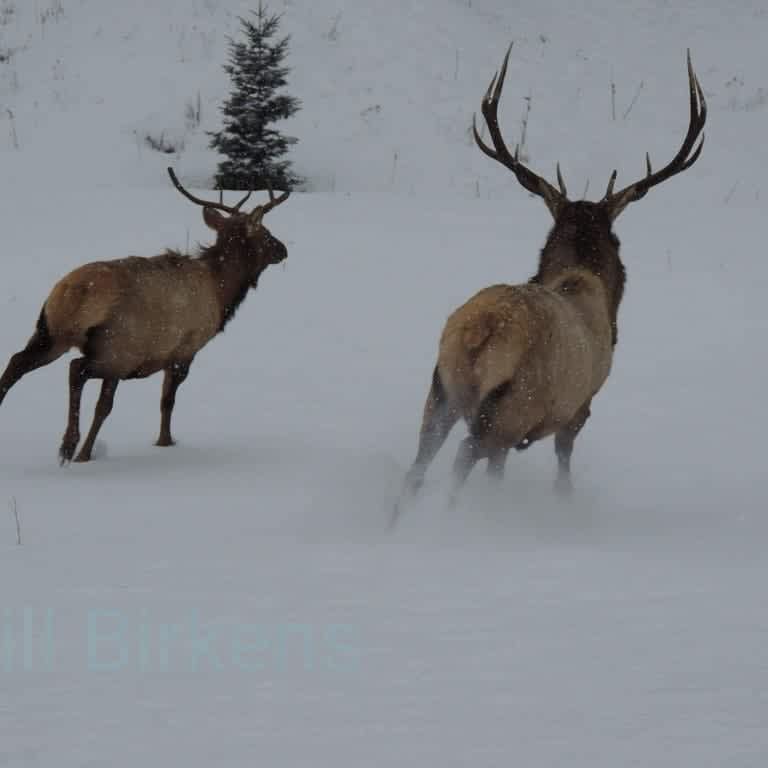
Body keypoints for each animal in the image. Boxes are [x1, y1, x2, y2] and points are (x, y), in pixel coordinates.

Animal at [0, 167, 292, 462]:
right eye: (265, 232)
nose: (283, 249)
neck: (222, 293)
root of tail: (72, 292)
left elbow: (111, 406)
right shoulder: (184, 350)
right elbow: (166, 401)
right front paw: (164, 442)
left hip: (51, 333)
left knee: (17, 362)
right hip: (115, 349)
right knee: (75, 370)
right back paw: (69, 444)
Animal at [396, 43, 708, 520]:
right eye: (616, 239)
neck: (586, 282)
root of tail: (477, 332)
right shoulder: (579, 406)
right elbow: (563, 464)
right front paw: (565, 503)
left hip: (441, 388)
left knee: (418, 465)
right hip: (509, 405)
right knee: (462, 460)